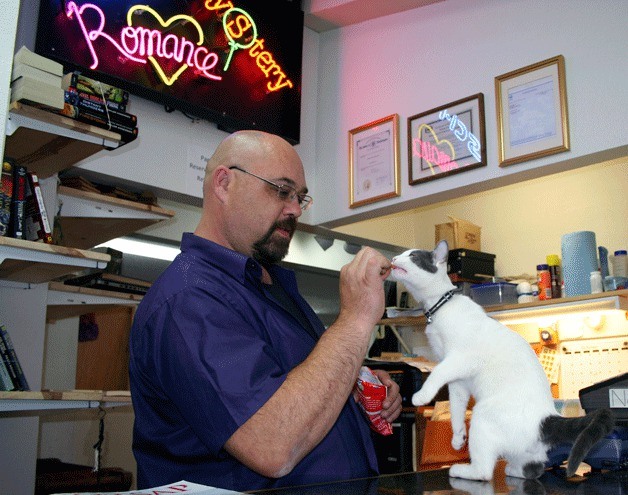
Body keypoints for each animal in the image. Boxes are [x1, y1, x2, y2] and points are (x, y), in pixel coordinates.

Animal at [388, 242, 612, 482]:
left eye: (412, 256)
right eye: (402, 254)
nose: (392, 258)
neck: (439, 306)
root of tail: (546, 416)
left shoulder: (458, 359)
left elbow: (437, 373)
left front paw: (420, 396)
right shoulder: (458, 383)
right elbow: (456, 410)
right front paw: (458, 438)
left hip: (481, 415)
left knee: (485, 472)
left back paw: (460, 470)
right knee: (533, 469)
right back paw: (513, 470)